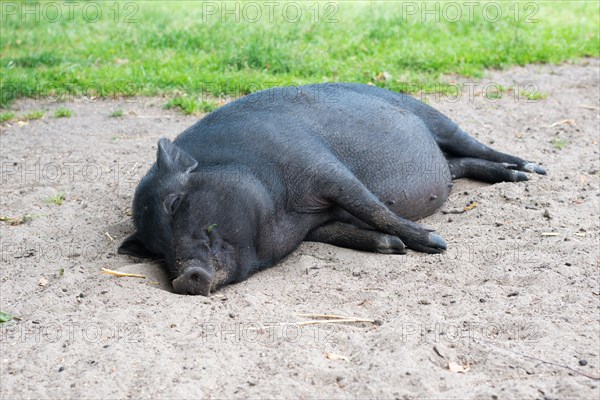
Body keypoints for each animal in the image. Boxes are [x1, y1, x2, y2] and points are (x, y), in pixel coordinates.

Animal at [117, 83, 544, 296]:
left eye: (174, 204)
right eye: (153, 249)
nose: (181, 280)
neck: (285, 213)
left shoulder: (323, 167)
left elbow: (372, 205)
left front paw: (436, 243)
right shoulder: (315, 223)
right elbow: (342, 230)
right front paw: (393, 247)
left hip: (436, 118)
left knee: (479, 147)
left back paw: (530, 171)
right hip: (445, 163)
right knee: (463, 166)